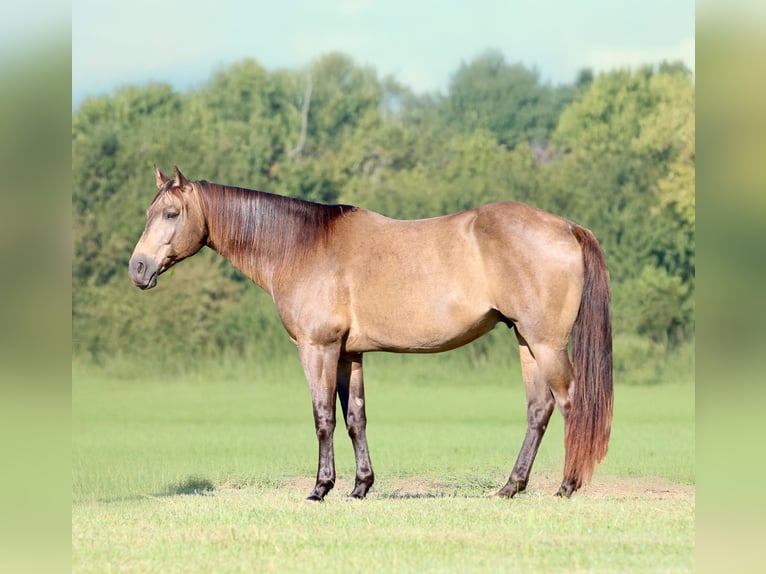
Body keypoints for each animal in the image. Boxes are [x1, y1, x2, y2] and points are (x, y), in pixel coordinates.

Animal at [129, 165, 613, 501]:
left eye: (171, 213)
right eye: (149, 212)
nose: (137, 268)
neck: (303, 247)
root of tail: (566, 227)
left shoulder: (318, 348)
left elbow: (323, 416)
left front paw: (320, 488)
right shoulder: (349, 354)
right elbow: (355, 418)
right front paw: (361, 486)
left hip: (546, 343)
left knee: (570, 403)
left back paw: (567, 485)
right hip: (526, 341)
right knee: (538, 409)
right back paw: (512, 486)